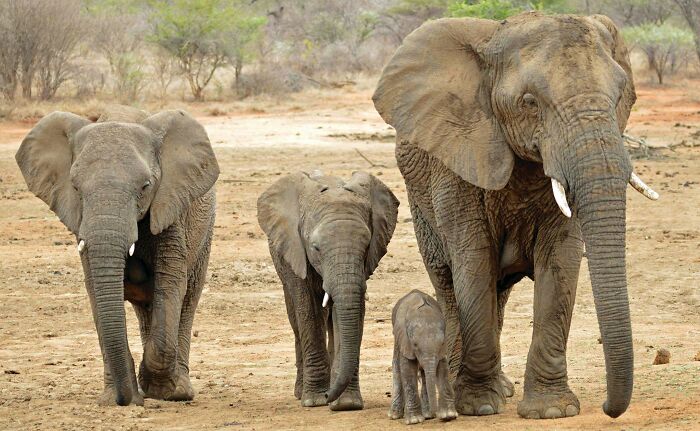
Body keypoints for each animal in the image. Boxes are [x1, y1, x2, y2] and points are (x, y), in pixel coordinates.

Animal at [15, 105, 220, 406]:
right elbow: (95, 290)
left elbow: (170, 282)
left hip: (204, 231)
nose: (127, 400)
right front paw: (117, 399)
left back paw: (178, 392)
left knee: (188, 298)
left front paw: (159, 391)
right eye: (75, 188)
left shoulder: (169, 206)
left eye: (146, 186)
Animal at [257, 170, 399, 411]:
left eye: (367, 246)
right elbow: (309, 310)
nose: (327, 397)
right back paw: (300, 392)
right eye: (315, 247)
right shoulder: (296, 250)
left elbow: (352, 311)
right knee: (296, 317)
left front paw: (346, 404)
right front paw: (315, 401)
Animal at [390, 289, 457, 425]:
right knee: (397, 369)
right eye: (415, 345)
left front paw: (448, 415)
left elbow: (442, 368)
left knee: (425, 374)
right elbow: (407, 369)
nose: (436, 414)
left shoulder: (441, 350)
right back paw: (395, 415)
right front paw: (414, 420)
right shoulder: (405, 340)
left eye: (442, 343)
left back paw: (427, 414)